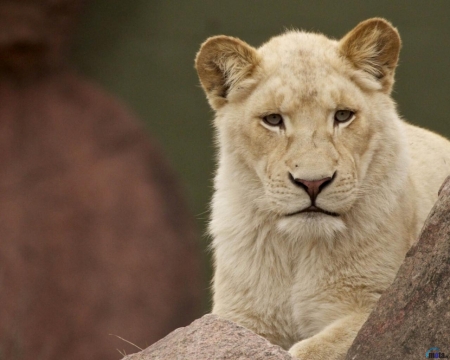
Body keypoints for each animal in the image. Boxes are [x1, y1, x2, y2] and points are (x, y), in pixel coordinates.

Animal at [193, 18, 450, 358]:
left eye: (342, 115)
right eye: (273, 119)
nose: (312, 183)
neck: (297, 251)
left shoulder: (374, 304)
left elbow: (312, 349)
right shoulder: (237, 316)